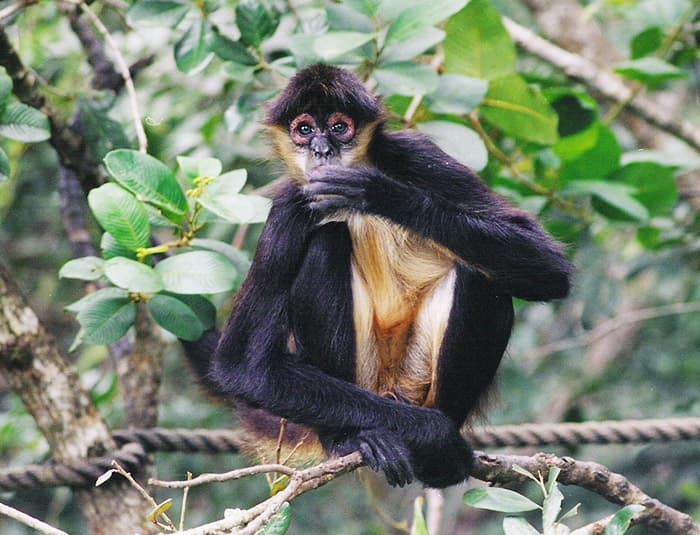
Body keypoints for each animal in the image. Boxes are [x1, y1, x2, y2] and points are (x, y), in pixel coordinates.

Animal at [183, 64, 574, 488]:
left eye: (340, 127)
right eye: (304, 129)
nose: (321, 150)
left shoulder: (416, 153)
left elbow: (549, 265)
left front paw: (376, 192)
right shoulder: (290, 204)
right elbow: (240, 367)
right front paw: (431, 433)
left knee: (479, 278)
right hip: (363, 382)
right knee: (327, 242)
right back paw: (358, 440)